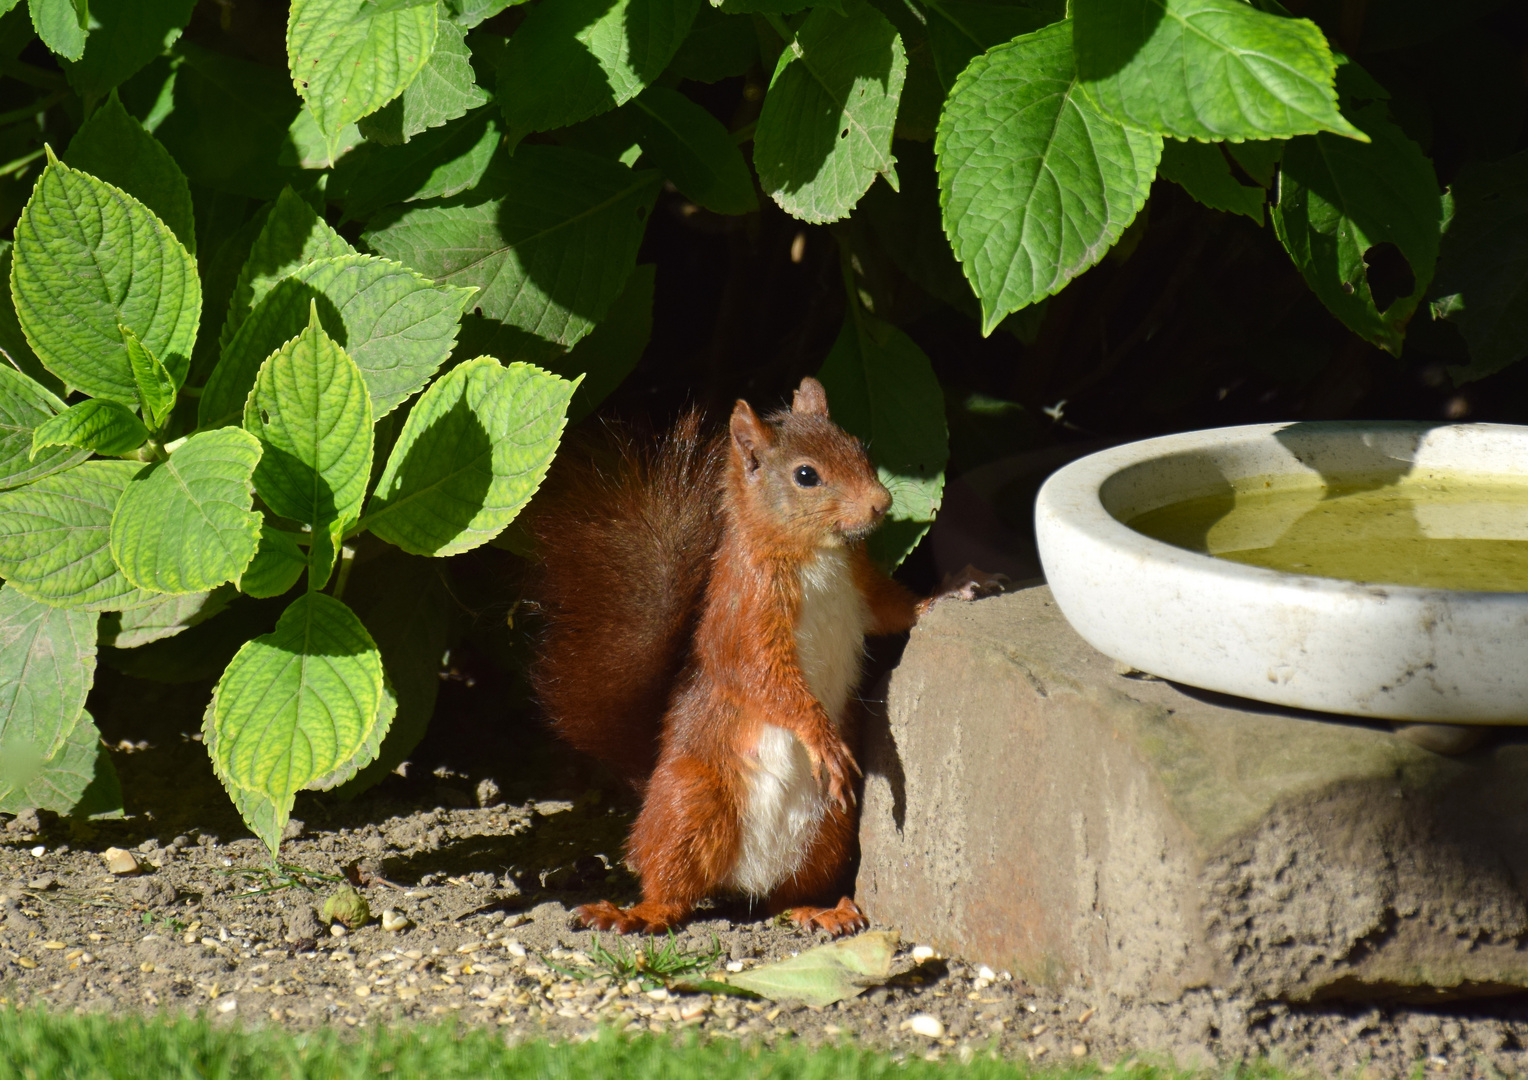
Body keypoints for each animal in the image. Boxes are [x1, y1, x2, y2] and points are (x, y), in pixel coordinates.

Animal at [531, 378, 996, 934]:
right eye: (805, 475)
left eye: (858, 447)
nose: (883, 504)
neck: (814, 552)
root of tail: (744, 879)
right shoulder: (746, 617)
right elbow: (764, 679)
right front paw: (821, 736)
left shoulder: (863, 588)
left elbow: (897, 611)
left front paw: (952, 590)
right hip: (690, 803)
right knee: (671, 887)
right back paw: (634, 912)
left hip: (830, 825)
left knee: (782, 898)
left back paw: (820, 910)